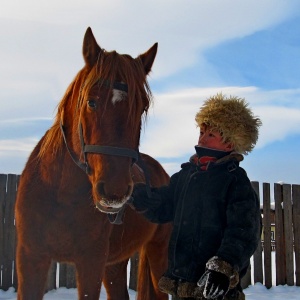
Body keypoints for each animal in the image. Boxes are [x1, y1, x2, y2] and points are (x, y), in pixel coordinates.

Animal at [15, 27, 171, 298]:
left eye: (142, 107)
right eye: (91, 101)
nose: (115, 192)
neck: (59, 197)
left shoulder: (91, 262)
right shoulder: (30, 258)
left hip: (157, 251)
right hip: (115, 264)